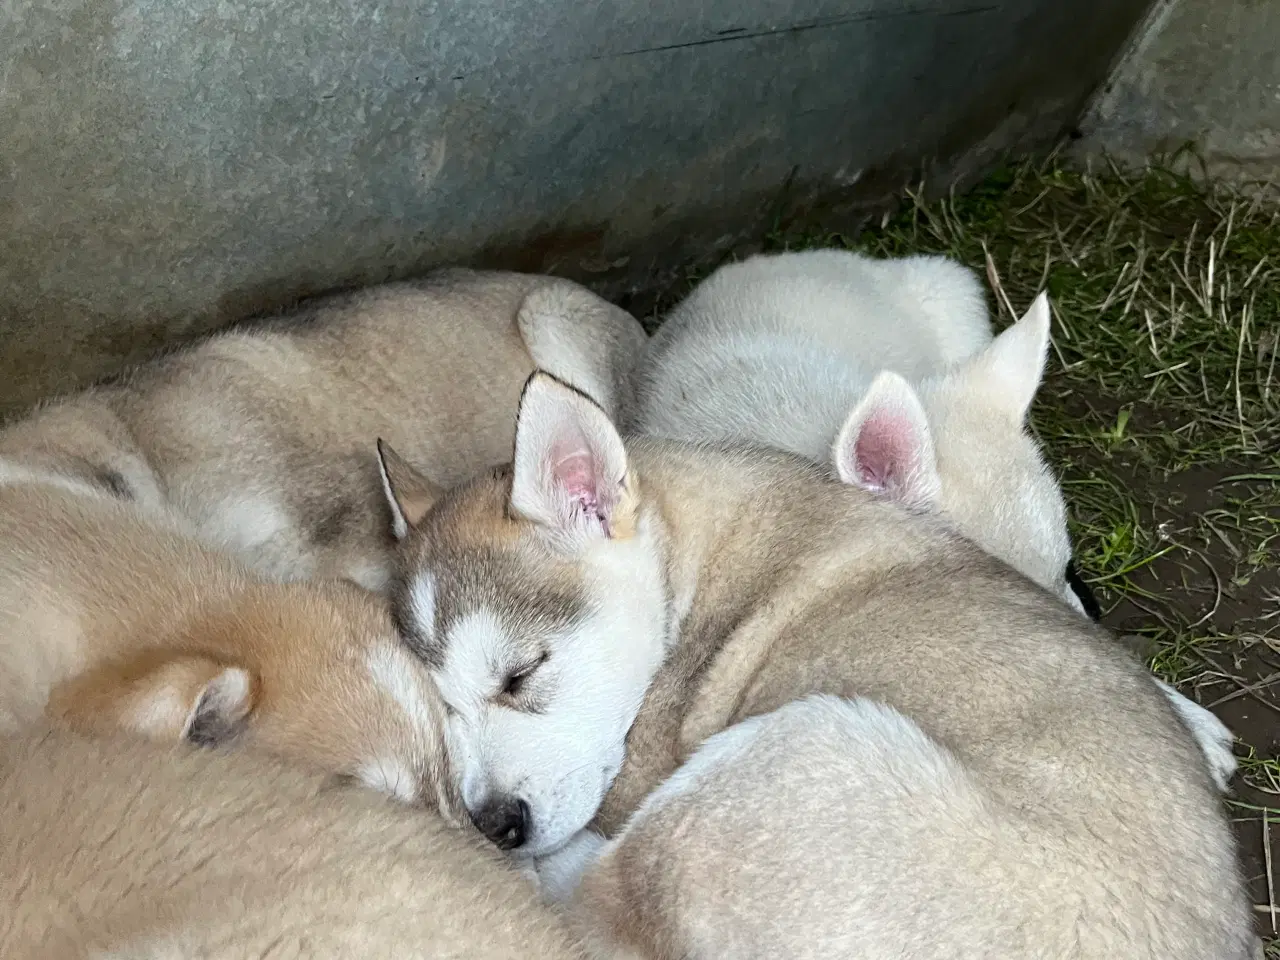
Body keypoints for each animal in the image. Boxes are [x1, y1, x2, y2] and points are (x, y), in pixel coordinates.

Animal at [376, 376, 1249, 960]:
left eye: (521, 675)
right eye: (442, 705)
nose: (496, 826)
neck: (694, 549)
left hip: (794, 745)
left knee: (599, 899)